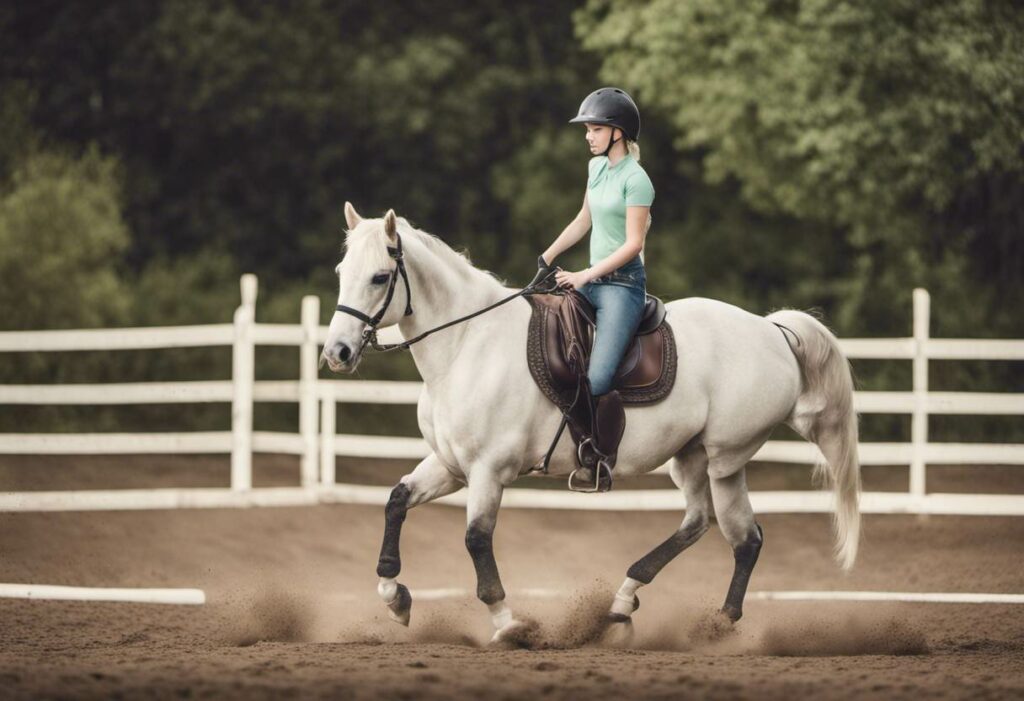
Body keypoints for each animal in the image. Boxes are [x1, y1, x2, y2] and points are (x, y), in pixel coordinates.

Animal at [323, 203, 860, 646]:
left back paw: (704, 625)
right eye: (342, 273)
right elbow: (396, 501)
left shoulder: (488, 471)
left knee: (737, 535)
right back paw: (632, 606)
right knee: (711, 527)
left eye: (379, 277)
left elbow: (476, 539)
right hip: (691, 457)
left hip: (724, 458)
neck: (468, 343)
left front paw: (509, 625)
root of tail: (772, 331)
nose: (337, 352)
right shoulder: (451, 465)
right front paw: (394, 596)